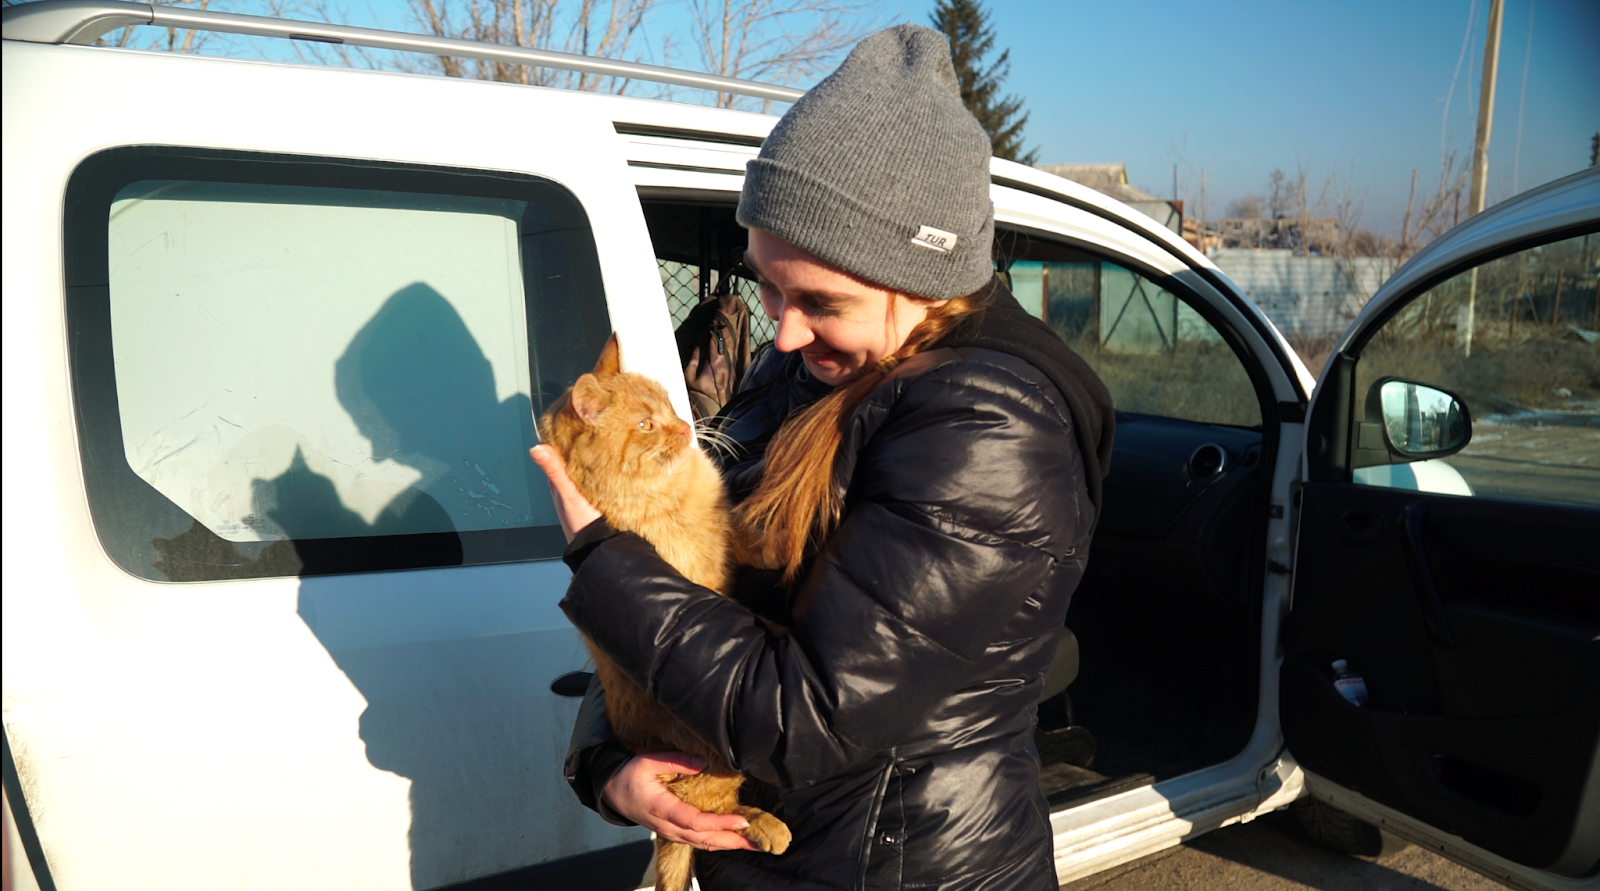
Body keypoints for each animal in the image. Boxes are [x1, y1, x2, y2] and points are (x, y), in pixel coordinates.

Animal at [540, 332, 790, 889]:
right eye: (644, 425)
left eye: (670, 406)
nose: (684, 426)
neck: (670, 495)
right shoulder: (691, 586)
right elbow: (730, 612)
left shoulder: (722, 532)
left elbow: (742, 533)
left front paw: (773, 544)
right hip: (712, 772)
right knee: (715, 813)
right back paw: (767, 827)